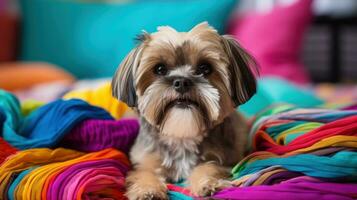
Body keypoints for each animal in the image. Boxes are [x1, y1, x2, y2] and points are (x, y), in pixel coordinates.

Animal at [111, 22, 256, 200]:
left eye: (205, 68)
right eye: (160, 69)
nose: (181, 82)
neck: (182, 135)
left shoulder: (224, 159)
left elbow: (210, 167)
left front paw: (207, 183)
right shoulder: (145, 161)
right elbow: (144, 173)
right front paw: (147, 190)